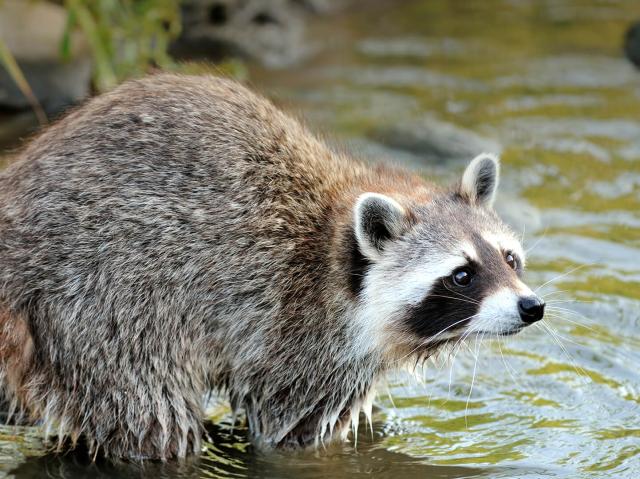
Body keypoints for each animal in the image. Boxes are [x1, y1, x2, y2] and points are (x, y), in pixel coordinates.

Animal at [0, 74, 544, 460]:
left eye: (508, 258)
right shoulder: (295, 333)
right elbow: (290, 431)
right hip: (102, 302)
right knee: (153, 416)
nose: (531, 306)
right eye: (462, 274)